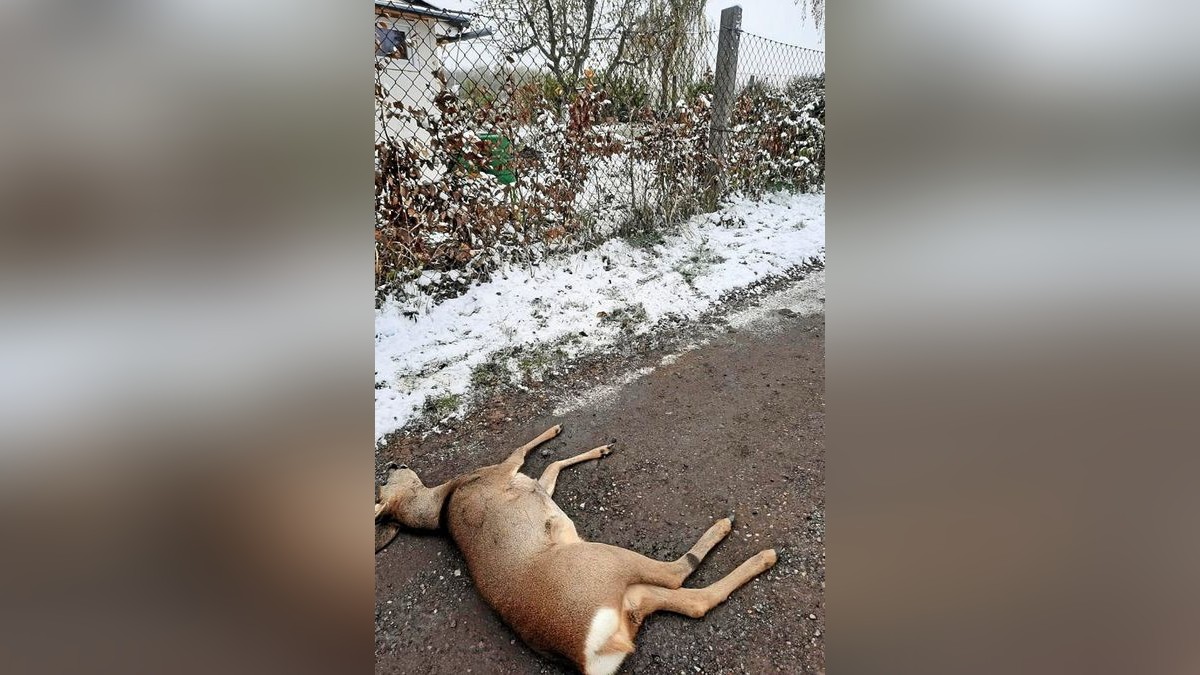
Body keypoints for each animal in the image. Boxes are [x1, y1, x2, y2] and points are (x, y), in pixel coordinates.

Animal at [369, 422, 777, 667]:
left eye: (382, 483)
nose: (390, 465)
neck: (442, 502)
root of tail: (589, 651)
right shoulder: (501, 471)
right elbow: (521, 450)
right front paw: (558, 430)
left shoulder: (531, 485)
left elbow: (551, 469)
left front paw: (599, 448)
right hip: (600, 561)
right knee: (676, 573)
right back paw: (743, 539)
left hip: (631, 597)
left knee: (695, 602)